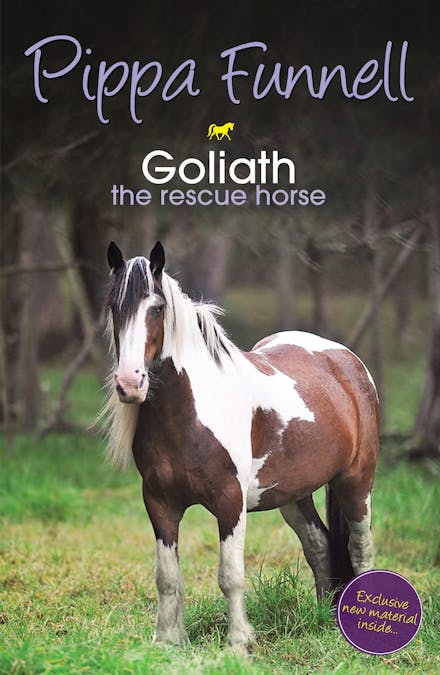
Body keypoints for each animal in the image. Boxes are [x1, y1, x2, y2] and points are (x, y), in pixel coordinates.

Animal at [102, 241, 379, 651]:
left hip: (356, 482)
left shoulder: (230, 502)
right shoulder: (159, 502)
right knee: (320, 546)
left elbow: (230, 575)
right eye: (113, 307)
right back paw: (322, 619)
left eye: (157, 308)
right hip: (293, 494)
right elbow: (167, 577)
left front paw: (238, 644)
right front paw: (168, 641)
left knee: (361, 550)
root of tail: (345, 360)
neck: (190, 413)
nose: (130, 383)